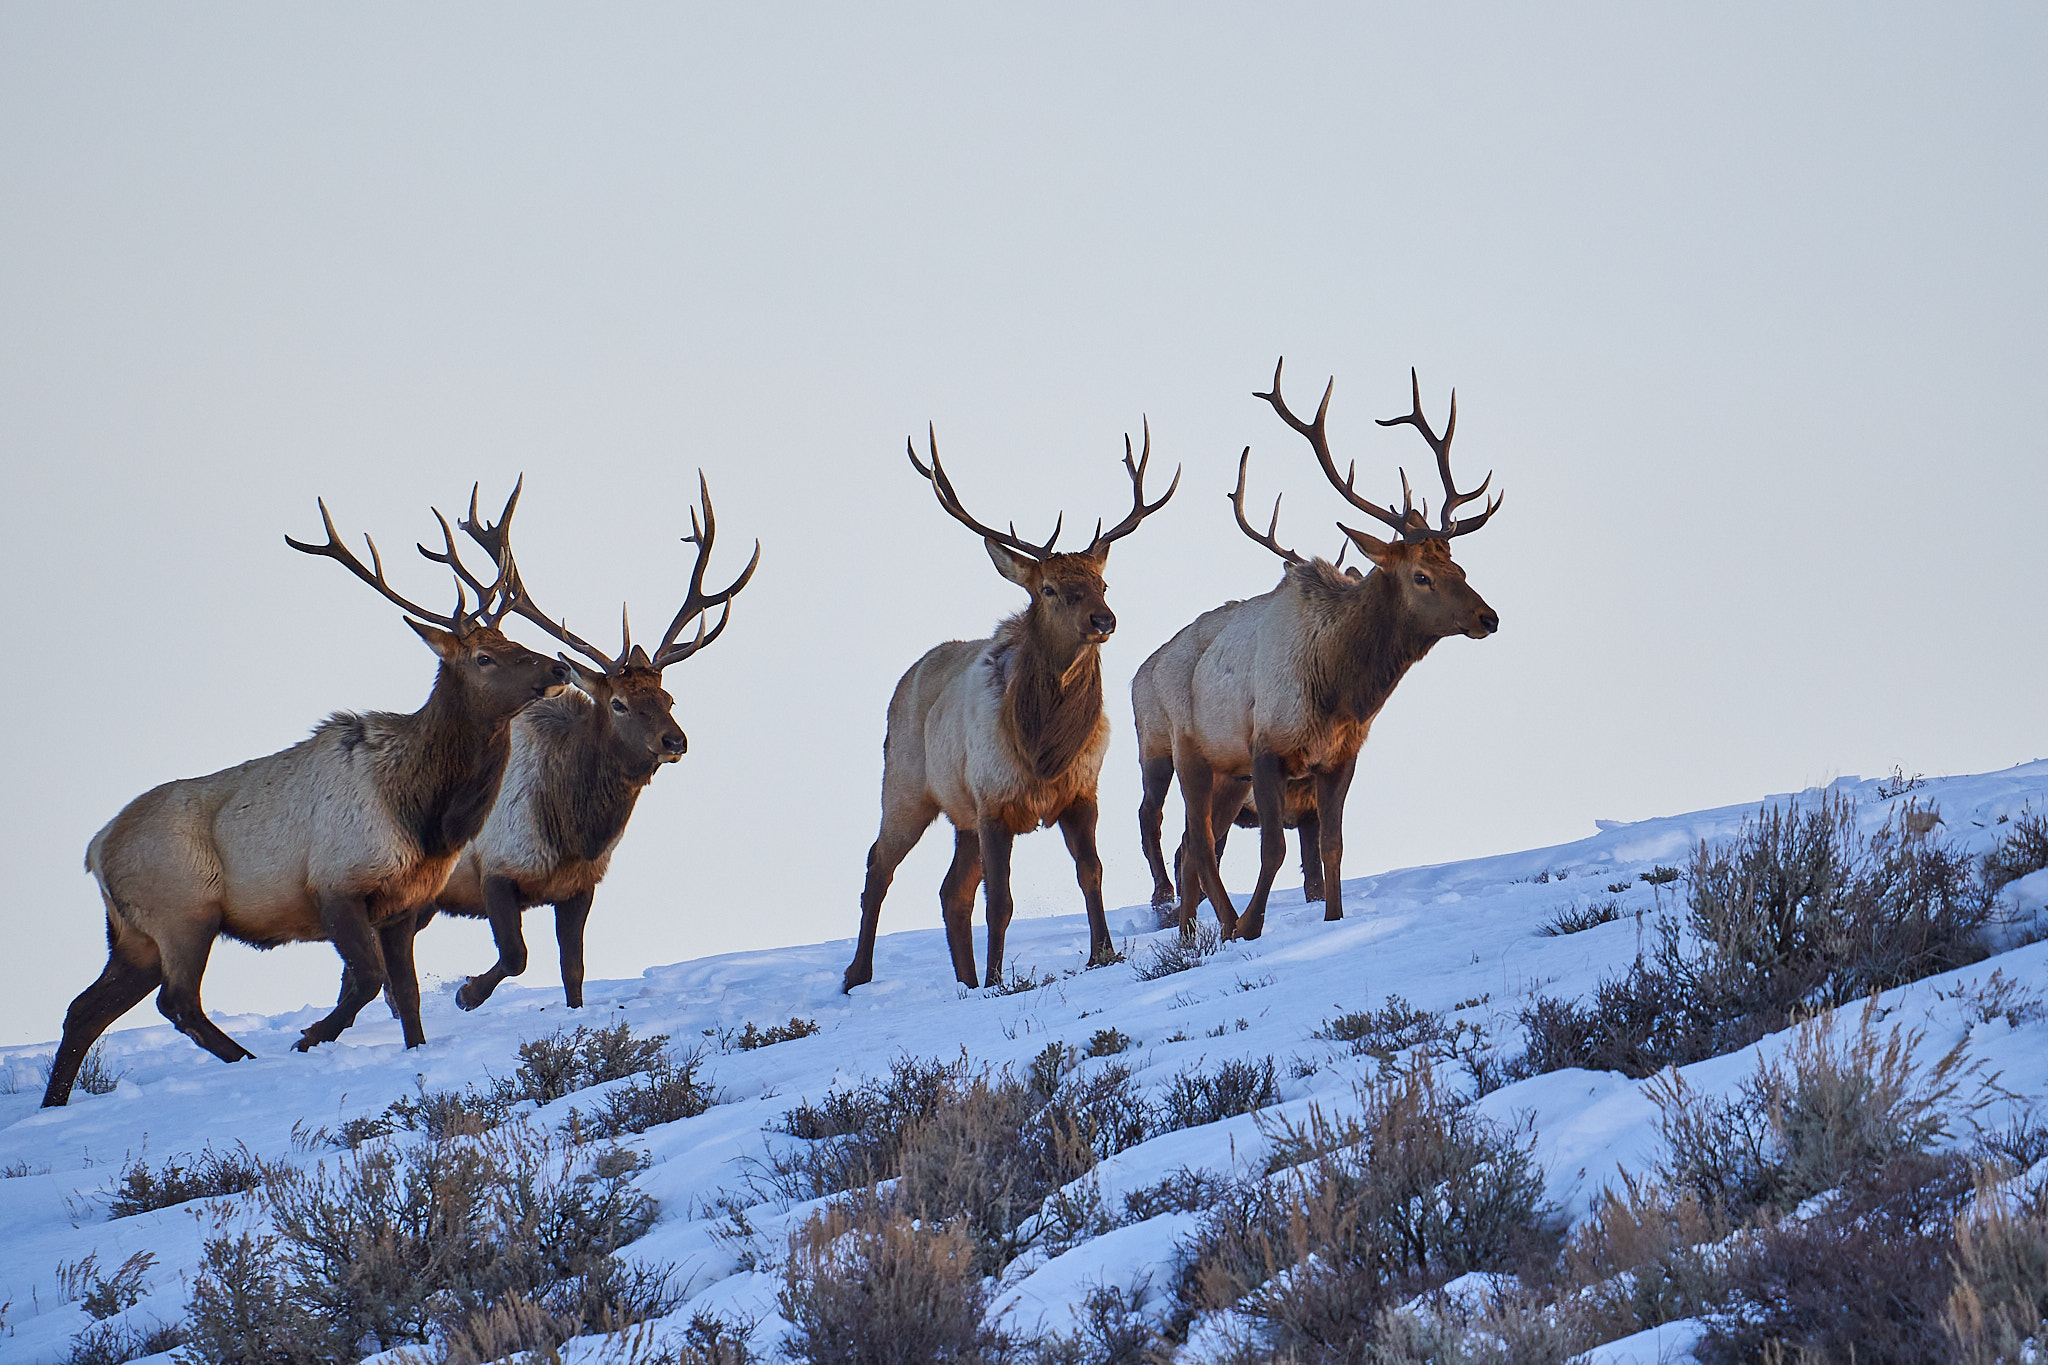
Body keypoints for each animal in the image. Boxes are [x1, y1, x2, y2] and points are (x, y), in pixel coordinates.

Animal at [41, 487, 570, 1107]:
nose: (559, 664)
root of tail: (95, 849)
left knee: (84, 1010)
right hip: (183, 912)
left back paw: (53, 1105)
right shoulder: (336, 883)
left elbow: (408, 996)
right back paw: (248, 1060)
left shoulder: (404, 903)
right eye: (485, 658)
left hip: (134, 935)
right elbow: (368, 981)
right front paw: (311, 1037)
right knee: (177, 1002)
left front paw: (410, 1054)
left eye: (513, 640)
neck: (425, 818)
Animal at [409, 473, 759, 1011]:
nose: (675, 740)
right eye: (617, 703)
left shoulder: (580, 887)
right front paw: (467, 991)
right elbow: (516, 957)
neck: (574, 833)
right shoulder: (496, 869)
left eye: (669, 697)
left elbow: (573, 972)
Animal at [842, 422, 1178, 992]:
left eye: (1102, 582)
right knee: (877, 866)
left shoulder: (1080, 792)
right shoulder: (993, 800)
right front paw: (999, 979)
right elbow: (1000, 901)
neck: (1043, 749)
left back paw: (965, 981)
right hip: (907, 788)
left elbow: (1092, 874)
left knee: (950, 892)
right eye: (1049, 588)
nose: (1104, 619)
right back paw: (856, 975)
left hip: (961, 817)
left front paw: (1103, 954)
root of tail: (904, 680)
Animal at [1133, 360, 1502, 942]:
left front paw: (1333, 917)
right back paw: (1224, 923)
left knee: (1194, 846)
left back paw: (1197, 928)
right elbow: (1275, 850)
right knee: (1194, 842)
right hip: (1186, 751)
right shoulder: (1266, 748)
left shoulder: (1338, 761)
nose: (1488, 617)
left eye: (1458, 567)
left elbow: (1332, 848)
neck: (1340, 694)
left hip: (1227, 774)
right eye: (1420, 576)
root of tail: (1142, 669)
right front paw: (1252, 927)